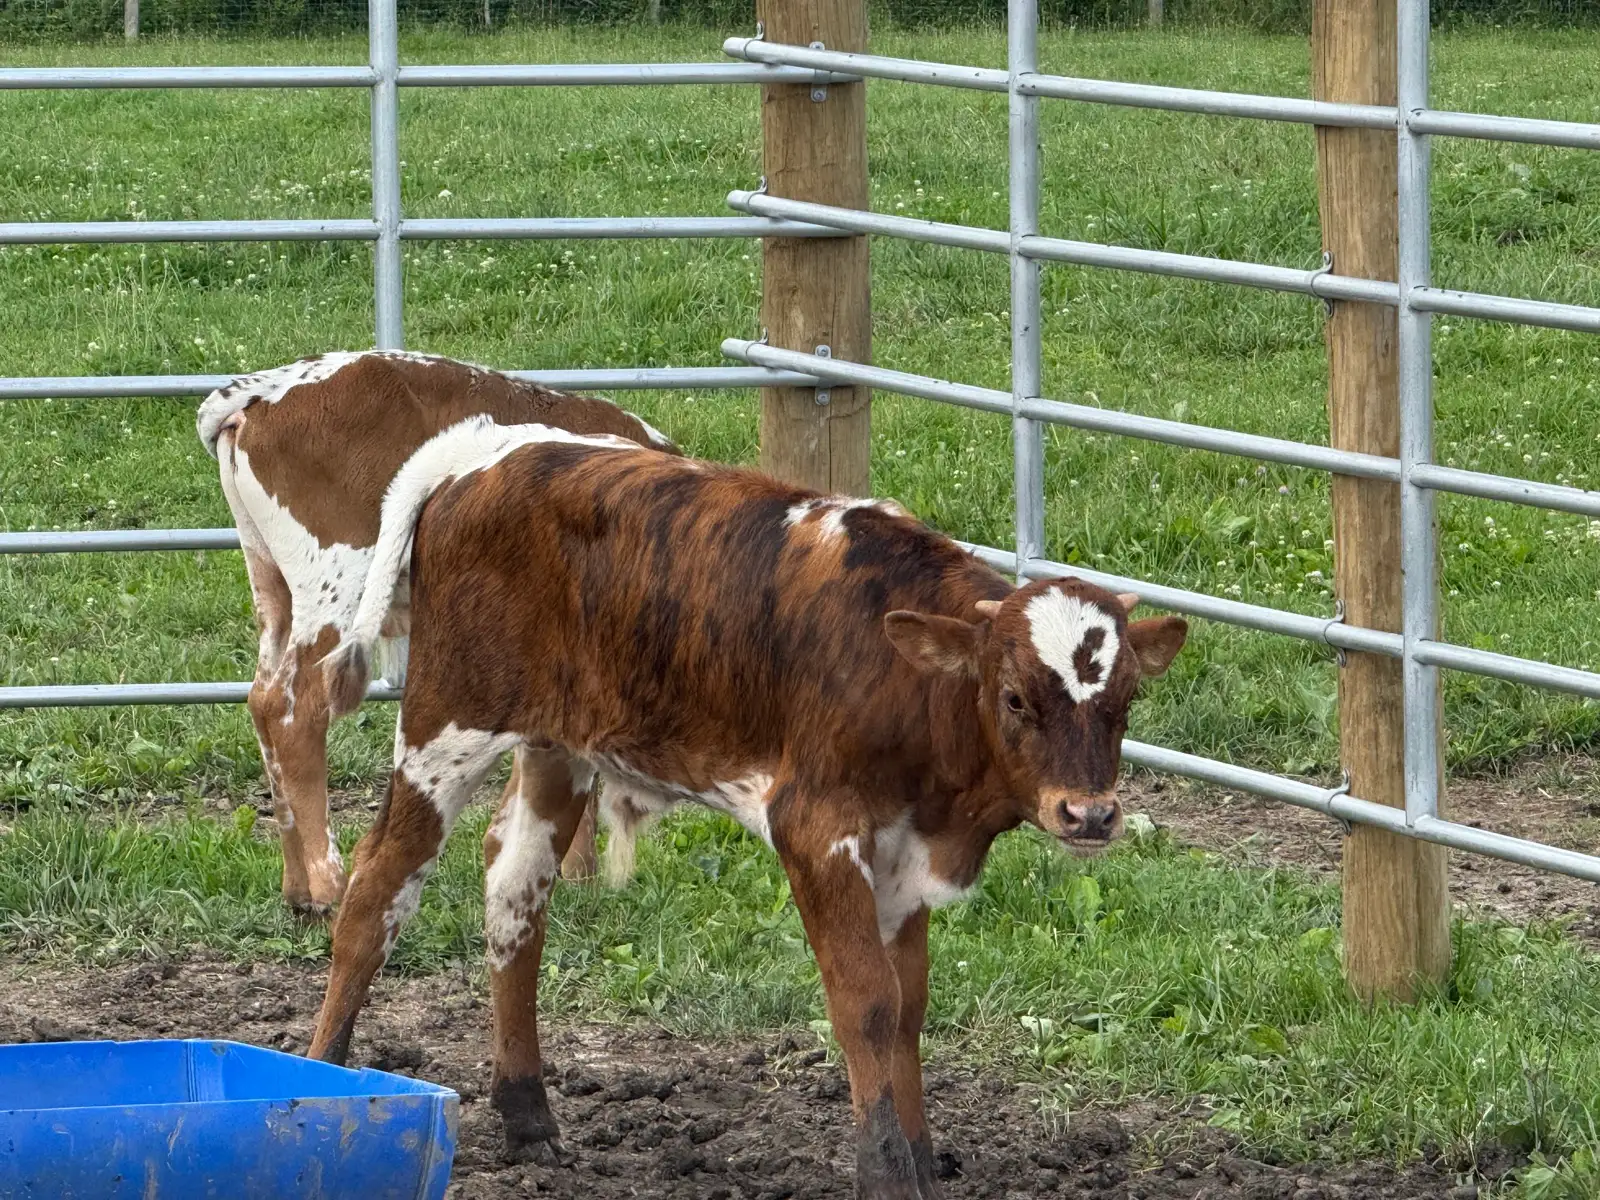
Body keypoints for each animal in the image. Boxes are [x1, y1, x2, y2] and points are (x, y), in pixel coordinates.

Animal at [196, 351, 677, 913]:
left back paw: (297, 886)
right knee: (294, 710)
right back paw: (329, 884)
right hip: (336, 581)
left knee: (262, 700)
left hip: (272, 585)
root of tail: (270, 387)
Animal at [306, 417, 1187, 1199]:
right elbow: (867, 1004)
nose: (1089, 815)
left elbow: (908, 1008)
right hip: (446, 728)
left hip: (558, 746)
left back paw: (527, 1114)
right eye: (1013, 697)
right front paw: (884, 1172)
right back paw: (323, 1081)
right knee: (378, 889)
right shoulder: (818, 832)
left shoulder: (903, 854)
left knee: (515, 892)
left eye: (1124, 704)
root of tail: (488, 448)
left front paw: (920, 1160)